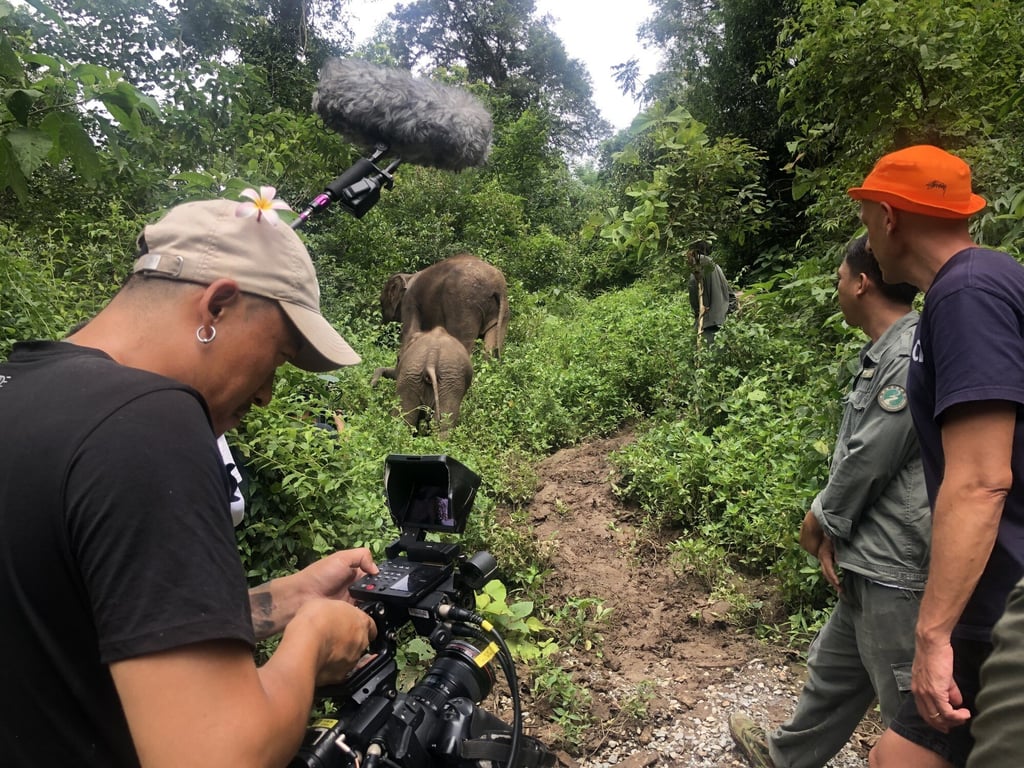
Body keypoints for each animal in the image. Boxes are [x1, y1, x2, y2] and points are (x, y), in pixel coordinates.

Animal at [380, 252, 510, 358]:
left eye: (381, 303)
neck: (408, 277)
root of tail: (497, 286)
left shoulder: (409, 300)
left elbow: (411, 332)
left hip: (463, 304)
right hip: (502, 308)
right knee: (493, 345)